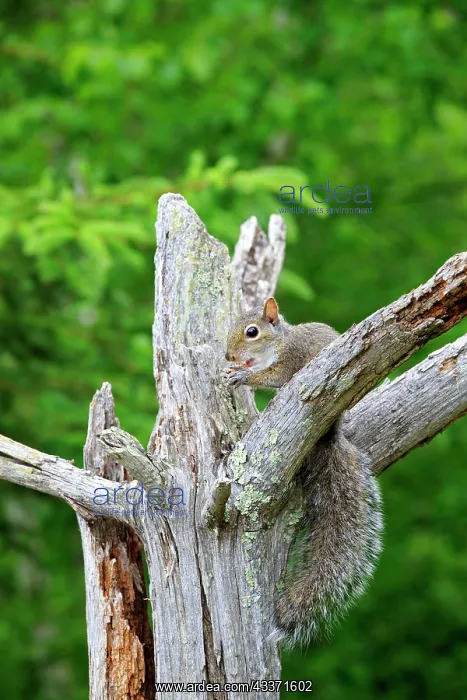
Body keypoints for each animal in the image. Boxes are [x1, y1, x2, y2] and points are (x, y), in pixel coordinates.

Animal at [224, 296, 383, 647]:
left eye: (252, 331)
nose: (229, 357)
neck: (277, 343)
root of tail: (330, 432)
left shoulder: (291, 360)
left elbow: (273, 376)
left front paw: (244, 376)